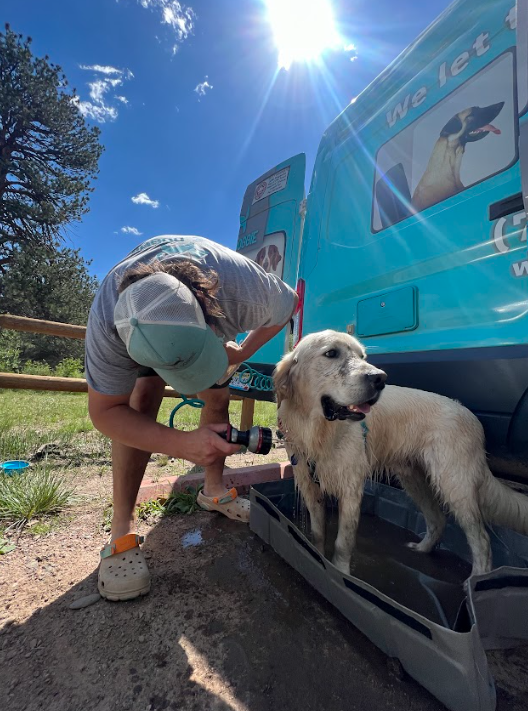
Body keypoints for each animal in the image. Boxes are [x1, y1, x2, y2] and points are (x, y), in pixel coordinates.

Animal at [274, 332, 528, 580]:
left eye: (363, 356)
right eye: (331, 353)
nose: (379, 378)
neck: (319, 432)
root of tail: (472, 417)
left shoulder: (351, 489)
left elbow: (343, 542)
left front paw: (340, 572)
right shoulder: (309, 486)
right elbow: (317, 533)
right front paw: (316, 556)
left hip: (454, 485)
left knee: (481, 539)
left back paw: (475, 580)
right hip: (414, 479)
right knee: (438, 519)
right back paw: (422, 549)